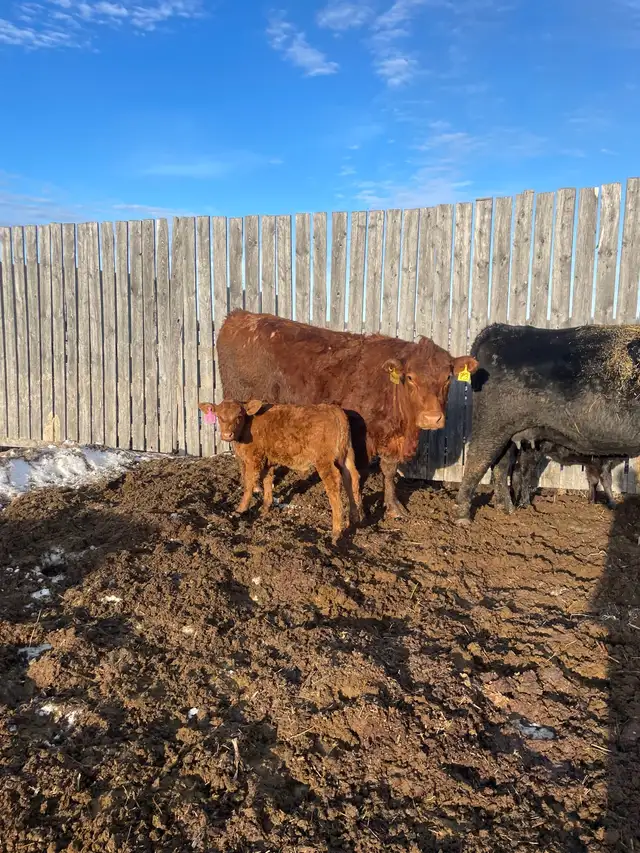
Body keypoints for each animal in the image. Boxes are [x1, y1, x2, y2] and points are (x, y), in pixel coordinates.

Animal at [198, 399, 363, 543]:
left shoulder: (253, 458)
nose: (227, 435)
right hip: (346, 455)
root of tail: (334, 410)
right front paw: (265, 507)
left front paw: (240, 509)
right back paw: (355, 519)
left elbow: (248, 483)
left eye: (239, 416)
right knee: (352, 478)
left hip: (324, 461)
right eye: (219, 416)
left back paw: (336, 532)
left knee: (334, 485)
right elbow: (267, 480)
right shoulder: (267, 459)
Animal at [216, 310, 478, 520]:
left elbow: (389, 471)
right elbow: (358, 473)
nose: (432, 418)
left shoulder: (392, 440)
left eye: (448, 377)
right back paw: (255, 486)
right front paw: (359, 510)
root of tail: (240, 316)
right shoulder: (360, 437)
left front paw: (393, 507)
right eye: (411, 377)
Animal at [456, 322, 640, 525]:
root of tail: (499, 329)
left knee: (501, 466)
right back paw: (463, 516)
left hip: (510, 435)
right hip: (491, 427)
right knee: (477, 462)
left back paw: (507, 508)